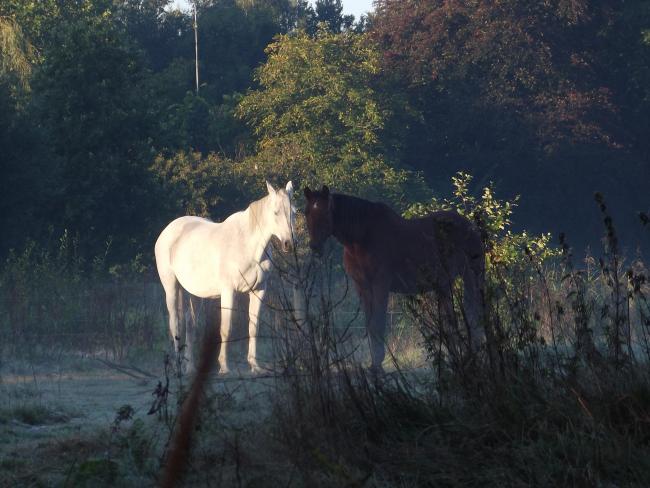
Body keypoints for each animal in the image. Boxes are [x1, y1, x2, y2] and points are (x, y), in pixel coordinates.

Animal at [153, 181, 294, 376]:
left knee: (190, 324)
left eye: (293, 211)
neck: (247, 245)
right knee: (175, 325)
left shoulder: (259, 290)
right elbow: (226, 328)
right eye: (276, 212)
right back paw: (178, 368)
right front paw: (224, 367)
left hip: (193, 293)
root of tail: (167, 232)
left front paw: (255, 366)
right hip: (171, 287)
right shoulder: (229, 291)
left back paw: (190, 367)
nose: (289, 244)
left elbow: (254, 326)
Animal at [302, 186, 484, 370]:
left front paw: (378, 365)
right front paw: (374, 363)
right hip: (444, 284)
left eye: (326, 212)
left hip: (471, 277)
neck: (362, 238)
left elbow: (377, 324)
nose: (315, 246)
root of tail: (471, 227)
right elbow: (369, 325)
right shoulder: (362, 287)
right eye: (306, 212)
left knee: (474, 314)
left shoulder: (380, 285)